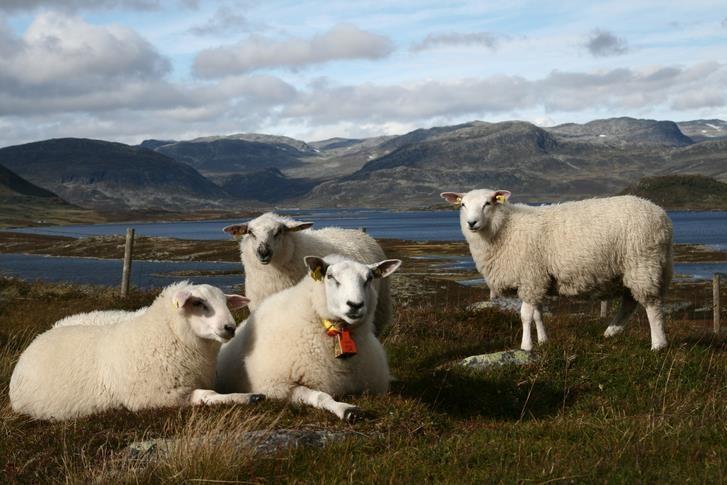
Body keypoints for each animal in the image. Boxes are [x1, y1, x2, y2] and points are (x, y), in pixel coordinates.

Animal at [9, 280, 264, 420]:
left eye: (226, 303)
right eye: (199, 303)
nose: (230, 327)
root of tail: (36, 341)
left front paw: (251, 396)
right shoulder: (160, 397)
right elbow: (207, 395)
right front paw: (244, 397)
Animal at [215, 253, 404, 420]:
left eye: (369, 278)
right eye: (330, 276)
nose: (355, 305)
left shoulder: (374, 385)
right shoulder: (279, 387)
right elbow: (321, 396)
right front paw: (346, 409)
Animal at [440, 189, 672, 352]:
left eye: (487, 203)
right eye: (463, 205)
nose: (471, 223)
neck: (505, 228)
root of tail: (661, 214)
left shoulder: (530, 277)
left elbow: (525, 315)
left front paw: (526, 346)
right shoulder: (538, 279)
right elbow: (538, 314)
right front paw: (543, 341)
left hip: (642, 264)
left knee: (652, 305)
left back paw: (658, 345)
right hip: (629, 271)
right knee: (629, 303)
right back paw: (611, 332)